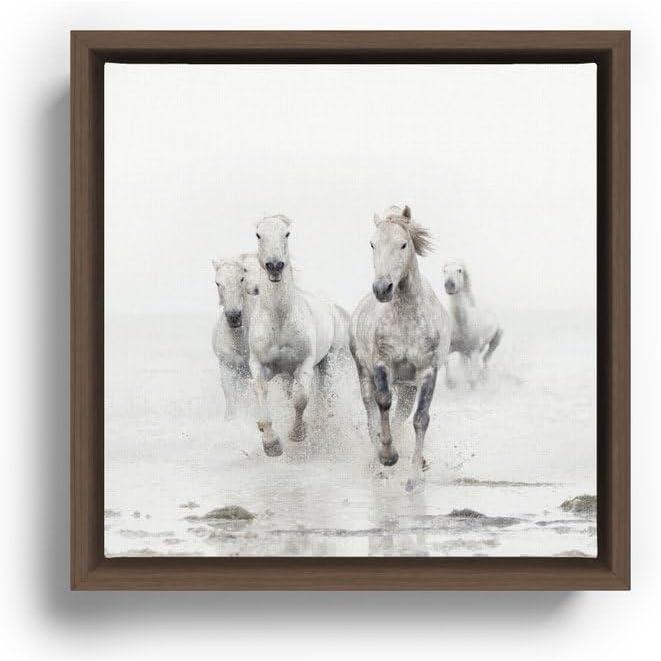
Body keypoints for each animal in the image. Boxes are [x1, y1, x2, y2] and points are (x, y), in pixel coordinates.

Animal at [248, 214, 351, 457]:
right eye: (258, 234)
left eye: (286, 234)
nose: (275, 266)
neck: (279, 320)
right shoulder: (259, 364)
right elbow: (261, 390)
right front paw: (271, 443)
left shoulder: (304, 365)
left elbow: (301, 399)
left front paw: (297, 434)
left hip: (327, 361)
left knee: (323, 394)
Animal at [350, 205, 452, 491]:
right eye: (372, 244)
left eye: (403, 244)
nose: (382, 288)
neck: (406, 315)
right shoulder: (382, 364)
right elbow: (383, 402)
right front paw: (387, 456)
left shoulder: (427, 370)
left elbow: (420, 419)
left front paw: (414, 477)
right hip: (363, 372)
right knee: (371, 411)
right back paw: (377, 464)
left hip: (407, 387)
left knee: (401, 415)